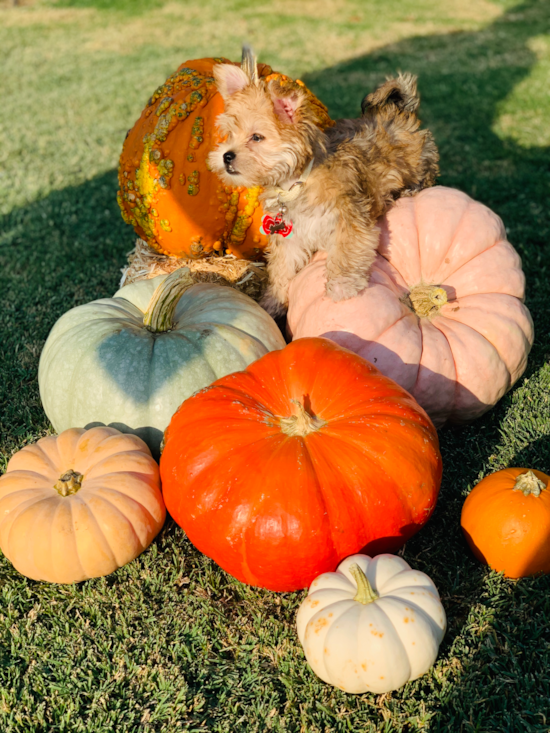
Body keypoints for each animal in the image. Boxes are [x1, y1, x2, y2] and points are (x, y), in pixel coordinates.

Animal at [209, 47, 442, 316]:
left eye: (256, 137)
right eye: (230, 134)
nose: (227, 156)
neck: (297, 182)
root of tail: (397, 112)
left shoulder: (349, 220)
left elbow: (346, 251)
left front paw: (341, 285)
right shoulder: (292, 236)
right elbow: (282, 267)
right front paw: (273, 301)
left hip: (421, 164)